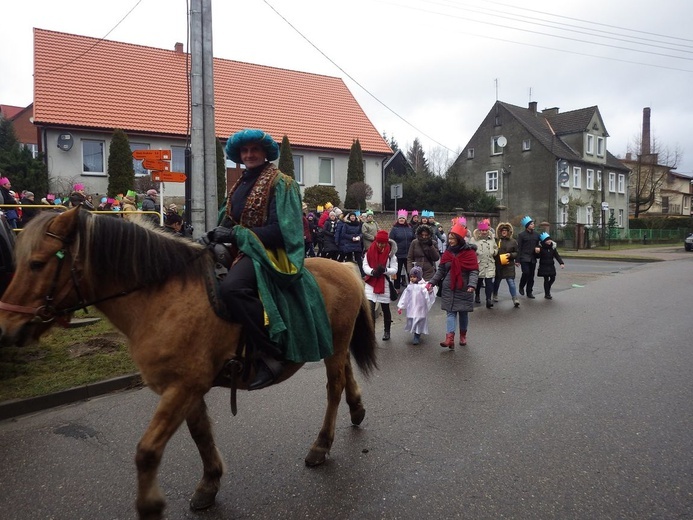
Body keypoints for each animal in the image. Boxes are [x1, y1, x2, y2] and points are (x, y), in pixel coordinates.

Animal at [0, 207, 376, 520]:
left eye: (37, 263)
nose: (7, 327)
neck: (162, 299)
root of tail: (344, 266)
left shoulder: (182, 387)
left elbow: (147, 451)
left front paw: (150, 505)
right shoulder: (187, 387)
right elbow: (200, 434)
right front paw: (209, 483)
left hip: (334, 345)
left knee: (333, 387)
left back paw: (321, 445)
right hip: (334, 345)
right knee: (345, 375)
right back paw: (357, 409)